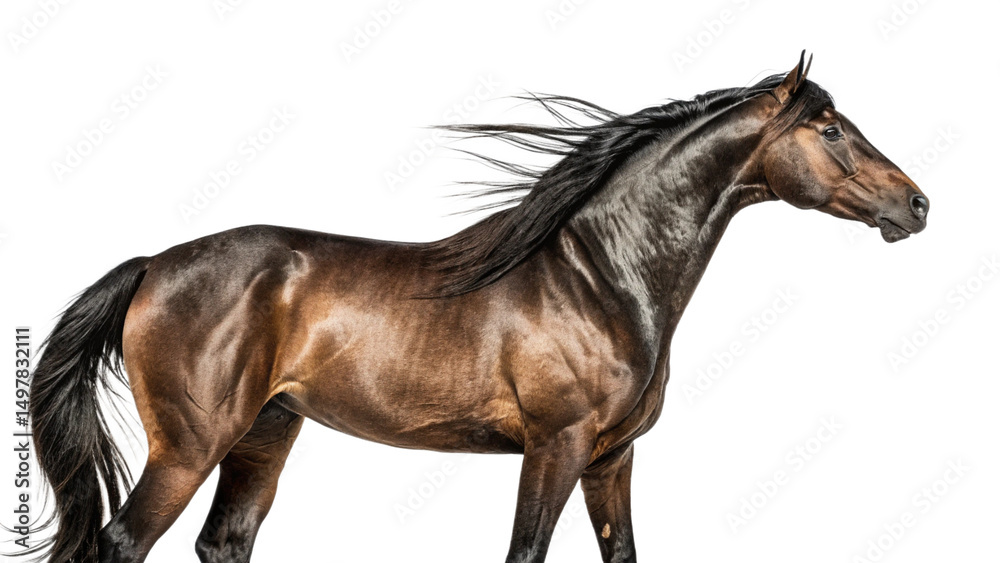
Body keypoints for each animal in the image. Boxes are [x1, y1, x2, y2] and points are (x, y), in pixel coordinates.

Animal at [28, 52, 928, 563]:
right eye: (830, 127)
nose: (917, 204)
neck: (600, 278)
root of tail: (153, 265)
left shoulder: (611, 458)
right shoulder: (556, 446)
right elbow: (524, 552)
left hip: (265, 435)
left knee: (224, 542)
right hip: (189, 445)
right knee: (123, 541)